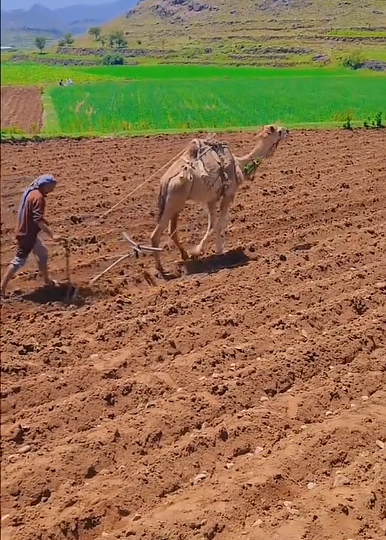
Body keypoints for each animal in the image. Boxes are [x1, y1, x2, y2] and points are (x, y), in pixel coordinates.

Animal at [151, 126, 290, 274]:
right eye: (279, 131)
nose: (287, 130)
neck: (240, 165)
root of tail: (166, 180)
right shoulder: (228, 195)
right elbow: (221, 222)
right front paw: (214, 250)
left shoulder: (211, 200)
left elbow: (212, 224)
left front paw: (199, 251)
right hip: (174, 200)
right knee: (155, 235)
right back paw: (161, 268)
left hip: (176, 203)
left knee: (172, 231)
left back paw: (184, 255)